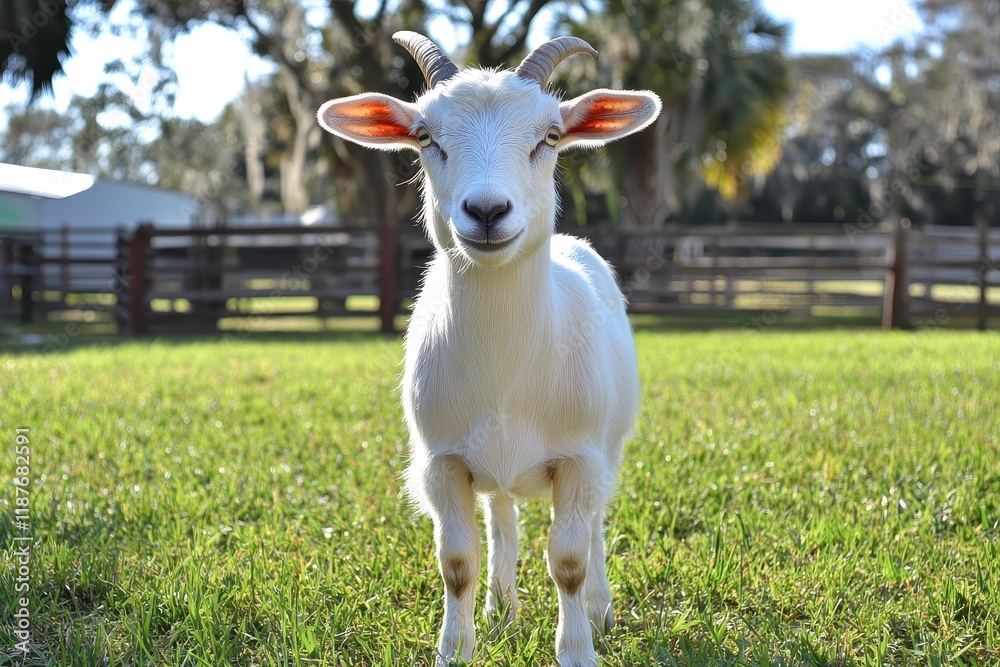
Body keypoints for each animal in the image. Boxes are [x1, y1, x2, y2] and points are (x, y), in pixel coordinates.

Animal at [318, 32, 660, 666]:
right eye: (425, 136)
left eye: (550, 136)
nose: (486, 211)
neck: (505, 374)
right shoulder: (441, 461)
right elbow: (456, 563)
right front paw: (455, 648)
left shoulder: (579, 457)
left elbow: (569, 560)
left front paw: (578, 649)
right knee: (501, 513)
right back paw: (502, 609)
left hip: (609, 444)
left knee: (596, 526)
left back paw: (599, 611)